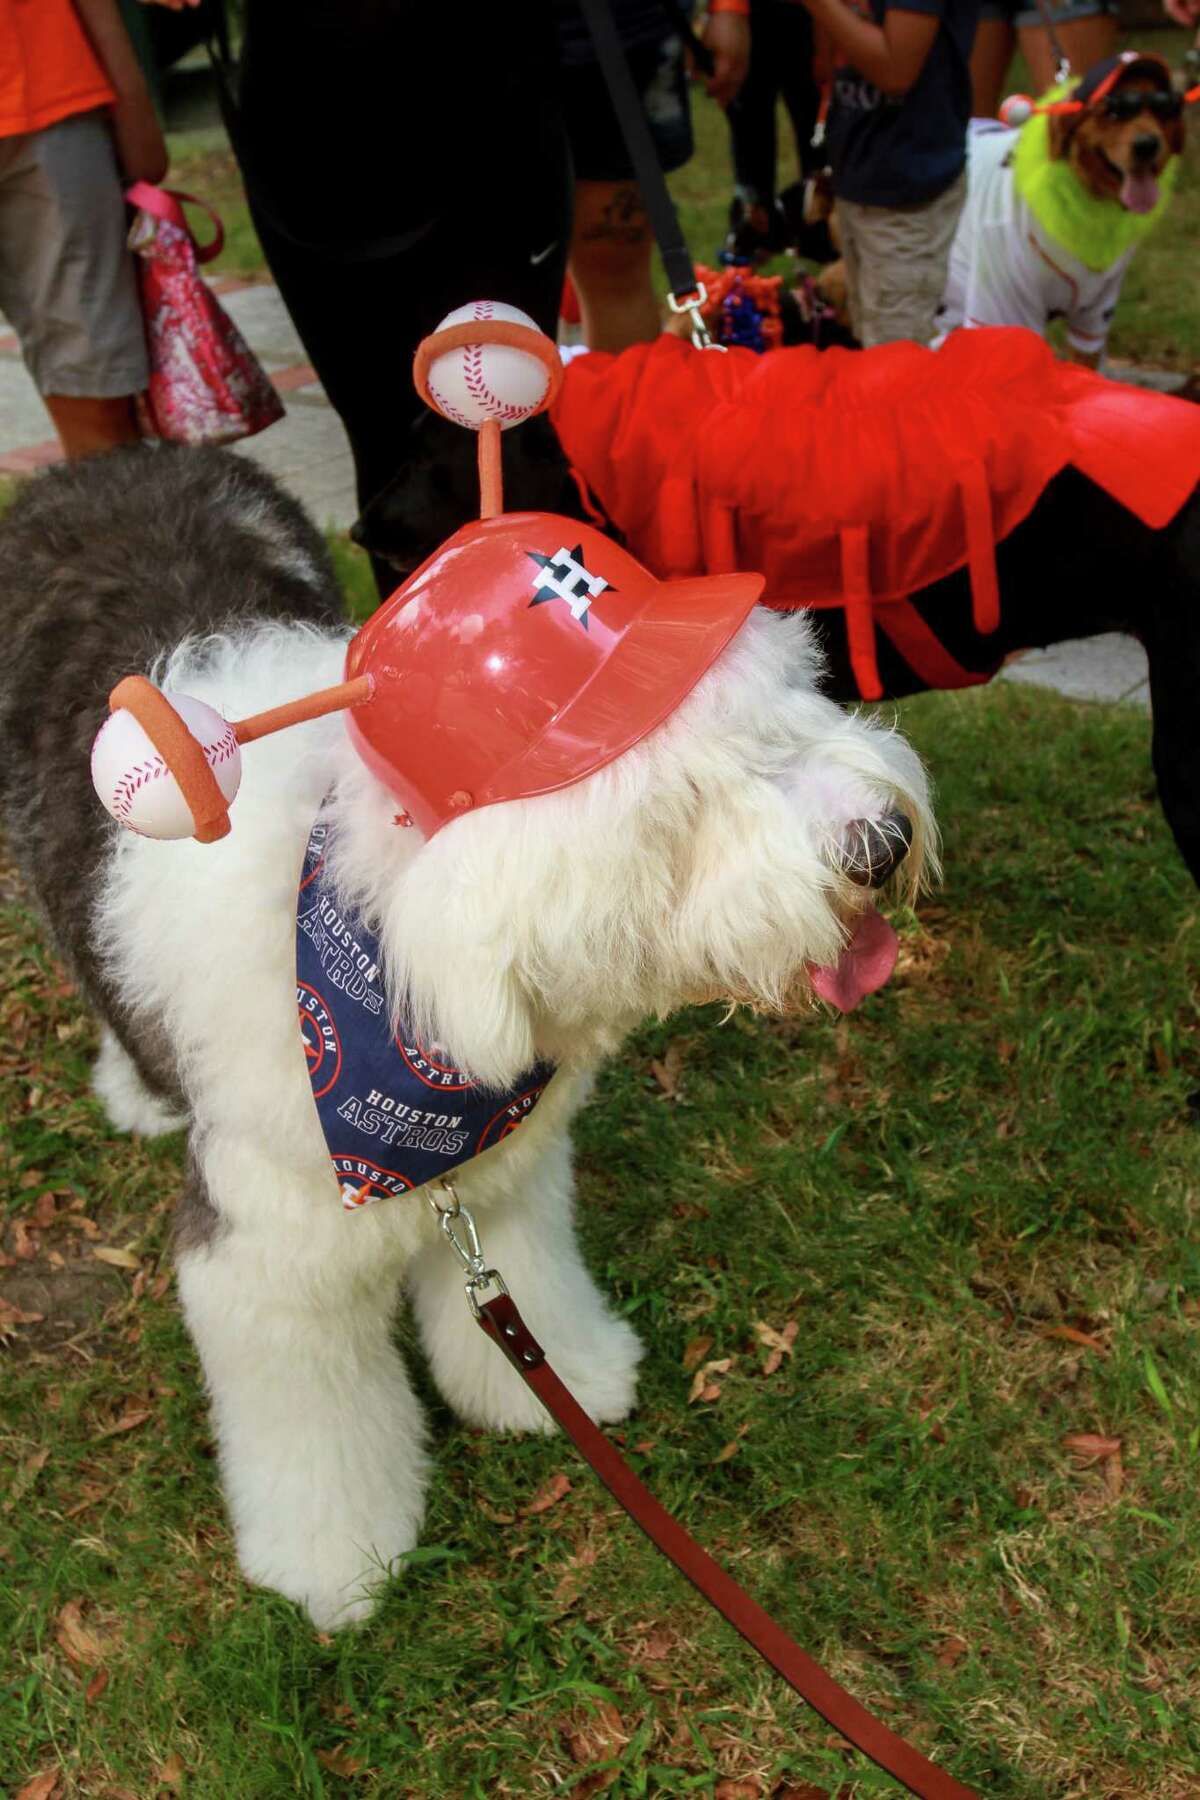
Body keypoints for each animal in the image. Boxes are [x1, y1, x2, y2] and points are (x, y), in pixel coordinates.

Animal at [0, 446, 935, 1634]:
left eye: (785, 703)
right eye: (681, 801)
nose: (884, 841)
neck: (395, 961)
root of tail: (105, 459)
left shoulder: (503, 1171)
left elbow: (520, 1285)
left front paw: (567, 1379)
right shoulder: (266, 1257)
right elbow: (312, 1424)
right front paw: (336, 1560)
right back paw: (133, 1085)